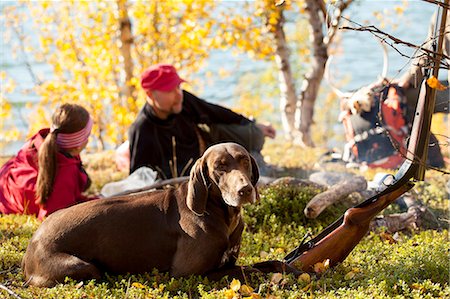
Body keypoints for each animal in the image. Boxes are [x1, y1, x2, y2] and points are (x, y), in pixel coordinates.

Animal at [22, 144, 298, 288]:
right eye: (219, 167)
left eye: (244, 161)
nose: (245, 190)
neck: (221, 215)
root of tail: (32, 242)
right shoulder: (188, 274)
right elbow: (248, 270)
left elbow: (273, 262)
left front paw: (293, 271)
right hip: (84, 267)